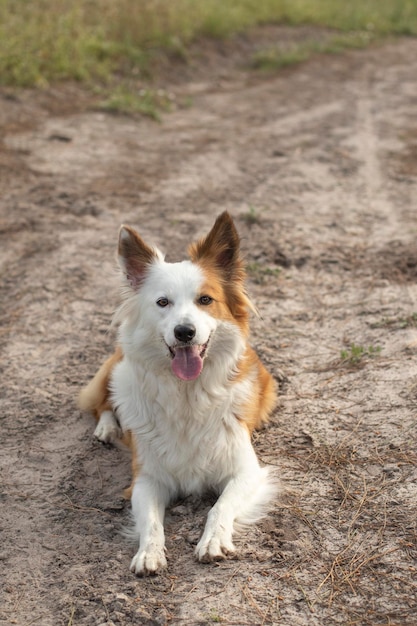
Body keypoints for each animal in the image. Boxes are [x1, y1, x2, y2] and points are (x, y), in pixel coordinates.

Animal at [79, 211, 278, 576]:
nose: (184, 331)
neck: (188, 394)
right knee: (102, 404)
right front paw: (149, 552)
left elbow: (220, 506)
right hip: (116, 370)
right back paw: (108, 428)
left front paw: (213, 540)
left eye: (205, 300)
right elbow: (151, 521)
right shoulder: (146, 478)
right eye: (162, 302)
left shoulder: (246, 471)